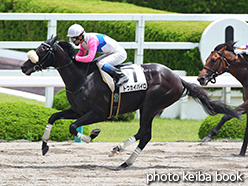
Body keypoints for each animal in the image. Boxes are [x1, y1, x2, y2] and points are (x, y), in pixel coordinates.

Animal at [20, 35, 240, 168]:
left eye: (42, 50)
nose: (23, 67)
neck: (82, 78)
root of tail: (178, 78)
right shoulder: (77, 110)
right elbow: (53, 116)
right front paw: (44, 147)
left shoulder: (97, 113)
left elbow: (73, 127)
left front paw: (93, 134)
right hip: (149, 107)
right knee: (144, 134)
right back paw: (122, 156)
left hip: (150, 105)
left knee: (145, 133)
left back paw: (122, 155)